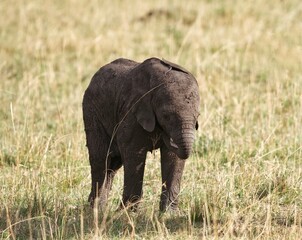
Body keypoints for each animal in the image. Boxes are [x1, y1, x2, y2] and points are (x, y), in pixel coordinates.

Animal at [82, 57, 201, 211]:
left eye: (197, 116)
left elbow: (173, 158)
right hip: (92, 112)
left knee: (112, 165)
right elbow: (134, 154)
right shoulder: (132, 111)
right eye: (166, 116)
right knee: (101, 160)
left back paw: (99, 210)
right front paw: (127, 213)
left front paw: (169, 213)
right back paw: (95, 211)